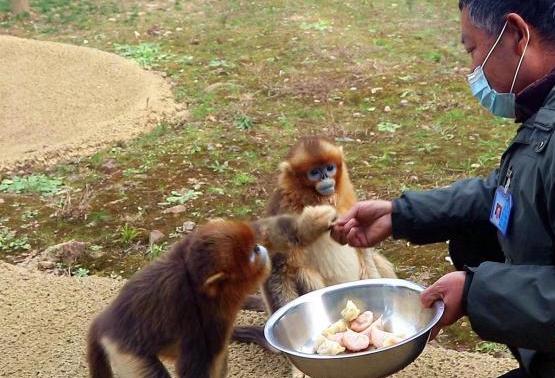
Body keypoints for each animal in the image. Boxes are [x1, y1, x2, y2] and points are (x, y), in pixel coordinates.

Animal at [87, 207, 338, 378]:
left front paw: (314, 222)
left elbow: (265, 231)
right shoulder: (197, 318)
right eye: (251, 255)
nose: (259, 249)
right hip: (126, 351)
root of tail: (102, 324)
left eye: (253, 247)